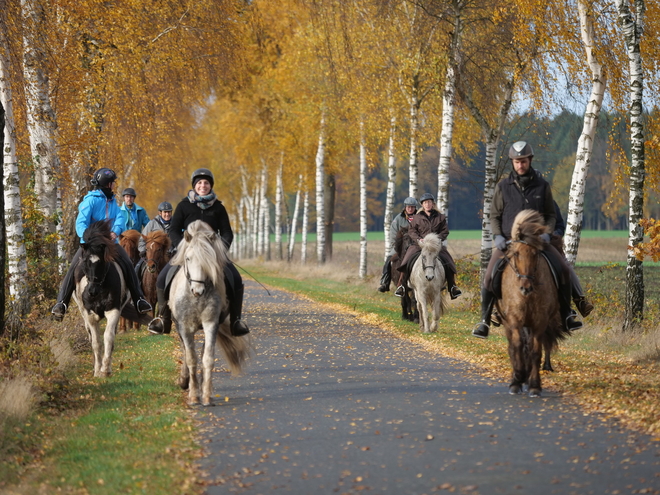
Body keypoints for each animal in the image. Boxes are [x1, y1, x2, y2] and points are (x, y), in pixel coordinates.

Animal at [71, 219, 130, 378]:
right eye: (85, 261)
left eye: (102, 262)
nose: (92, 291)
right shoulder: (89, 315)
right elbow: (96, 342)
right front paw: (97, 370)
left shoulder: (114, 311)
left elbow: (108, 337)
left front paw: (105, 369)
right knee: (91, 336)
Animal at [169, 221, 251, 406]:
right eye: (188, 258)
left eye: (209, 261)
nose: (197, 290)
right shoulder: (184, 327)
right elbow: (191, 358)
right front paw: (193, 396)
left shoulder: (211, 324)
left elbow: (207, 358)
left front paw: (206, 395)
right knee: (185, 350)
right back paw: (185, 381)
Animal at [496, 210, 568, 400]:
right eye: (516, 254)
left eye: (536, 254)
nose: (525, 287)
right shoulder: (514, 319)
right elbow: (517, 346)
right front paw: (517, 379)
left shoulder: (540, 321)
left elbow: (535, 351)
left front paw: (534, 385)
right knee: (514, 346)